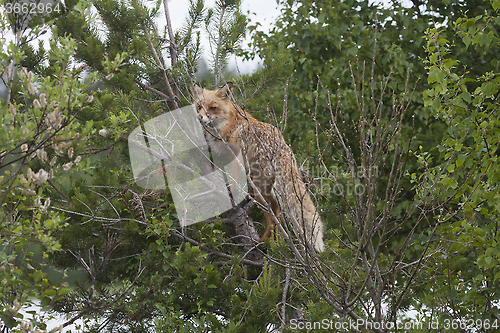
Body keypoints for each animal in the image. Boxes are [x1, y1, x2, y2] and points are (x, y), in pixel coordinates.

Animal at [190, 81, 324, 250]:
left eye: (213, 108)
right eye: (199, 106)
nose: (200, 117)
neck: (227, 123)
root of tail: (283, 151)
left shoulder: (237, 158)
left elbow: (235, 181)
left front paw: (232, 195)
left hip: (258, 191)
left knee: (272, 218)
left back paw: (263, 242)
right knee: (277, 216)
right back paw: (274, 243)